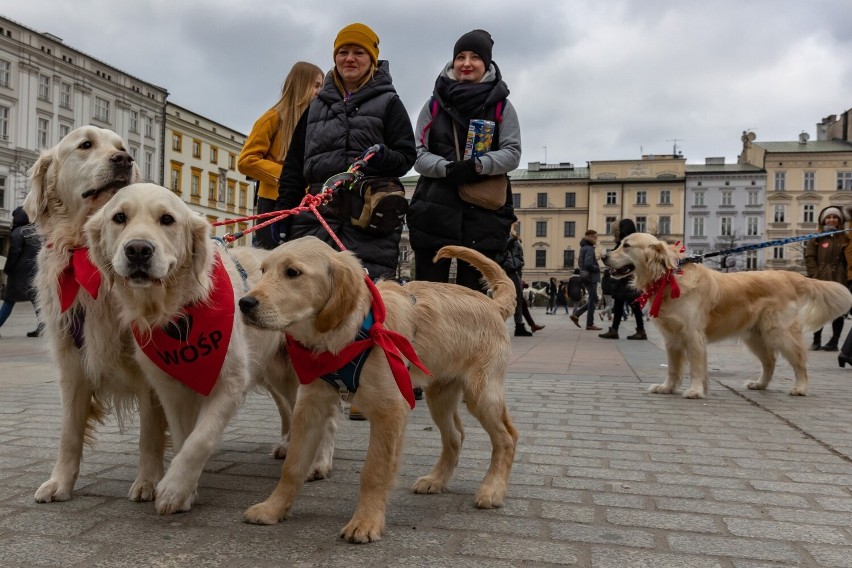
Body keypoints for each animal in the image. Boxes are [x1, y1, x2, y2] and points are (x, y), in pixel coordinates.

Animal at [23, 124, 169, 502]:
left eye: (122, 146)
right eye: (85, 145)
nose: (124, 159)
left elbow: (149, 432)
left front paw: (148, 482)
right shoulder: (72, 363)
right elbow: (69, 433)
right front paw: (60, 482)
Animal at [82, 183, 330, 516]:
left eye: (167, 219)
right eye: (119, 217)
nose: (138, 250)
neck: (178, 311)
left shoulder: (230, 382)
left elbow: (201, 439)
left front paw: (173, 489)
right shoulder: (169, 387)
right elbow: (184, 439)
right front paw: (186, 489)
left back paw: (320, 461)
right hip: (276, 372)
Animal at [236, 237, 524, 544]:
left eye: (293, 272)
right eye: (263, 271)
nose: (245, 303)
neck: (349, 333)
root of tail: (492, 304)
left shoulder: (390, 408)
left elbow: (374, 470)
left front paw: (366, 521)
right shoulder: (311, 404)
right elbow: (292, 465)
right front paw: (273, 508)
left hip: (481, 392)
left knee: (507, 437)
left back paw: (492, 489)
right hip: (440, 394)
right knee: (456, 436)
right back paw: (436, 480)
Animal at [600, 233, 852, 398]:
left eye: (626, 245)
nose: (603, 256)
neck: (668, 277)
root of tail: (788, 275)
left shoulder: (693, 335)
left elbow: (696, 367)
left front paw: (695, 390)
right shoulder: (672, 337)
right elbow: (672, 367)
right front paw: (667, 388)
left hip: (779, 332)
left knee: (799, 361)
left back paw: (800, 388)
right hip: (755, 336)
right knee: (770, 361)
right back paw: (760, 385)